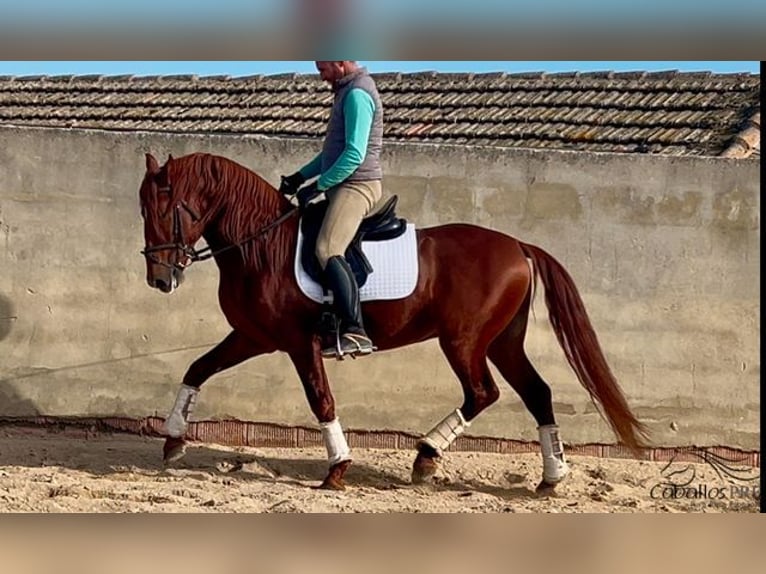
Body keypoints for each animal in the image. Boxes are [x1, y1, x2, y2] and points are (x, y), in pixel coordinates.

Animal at [138, 152, 648, 490]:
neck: (262, 247)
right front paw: (173, 440)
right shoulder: (253, 336)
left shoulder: (298, 342)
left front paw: (338, 468)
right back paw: (551, 477)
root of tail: (518, 246)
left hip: (464, 341)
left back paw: (426, 457)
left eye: (164, 208)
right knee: (536, 392)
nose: (160, 279)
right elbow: (197, 369)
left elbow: (321, 399)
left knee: (483, 392)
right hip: (503, 341)